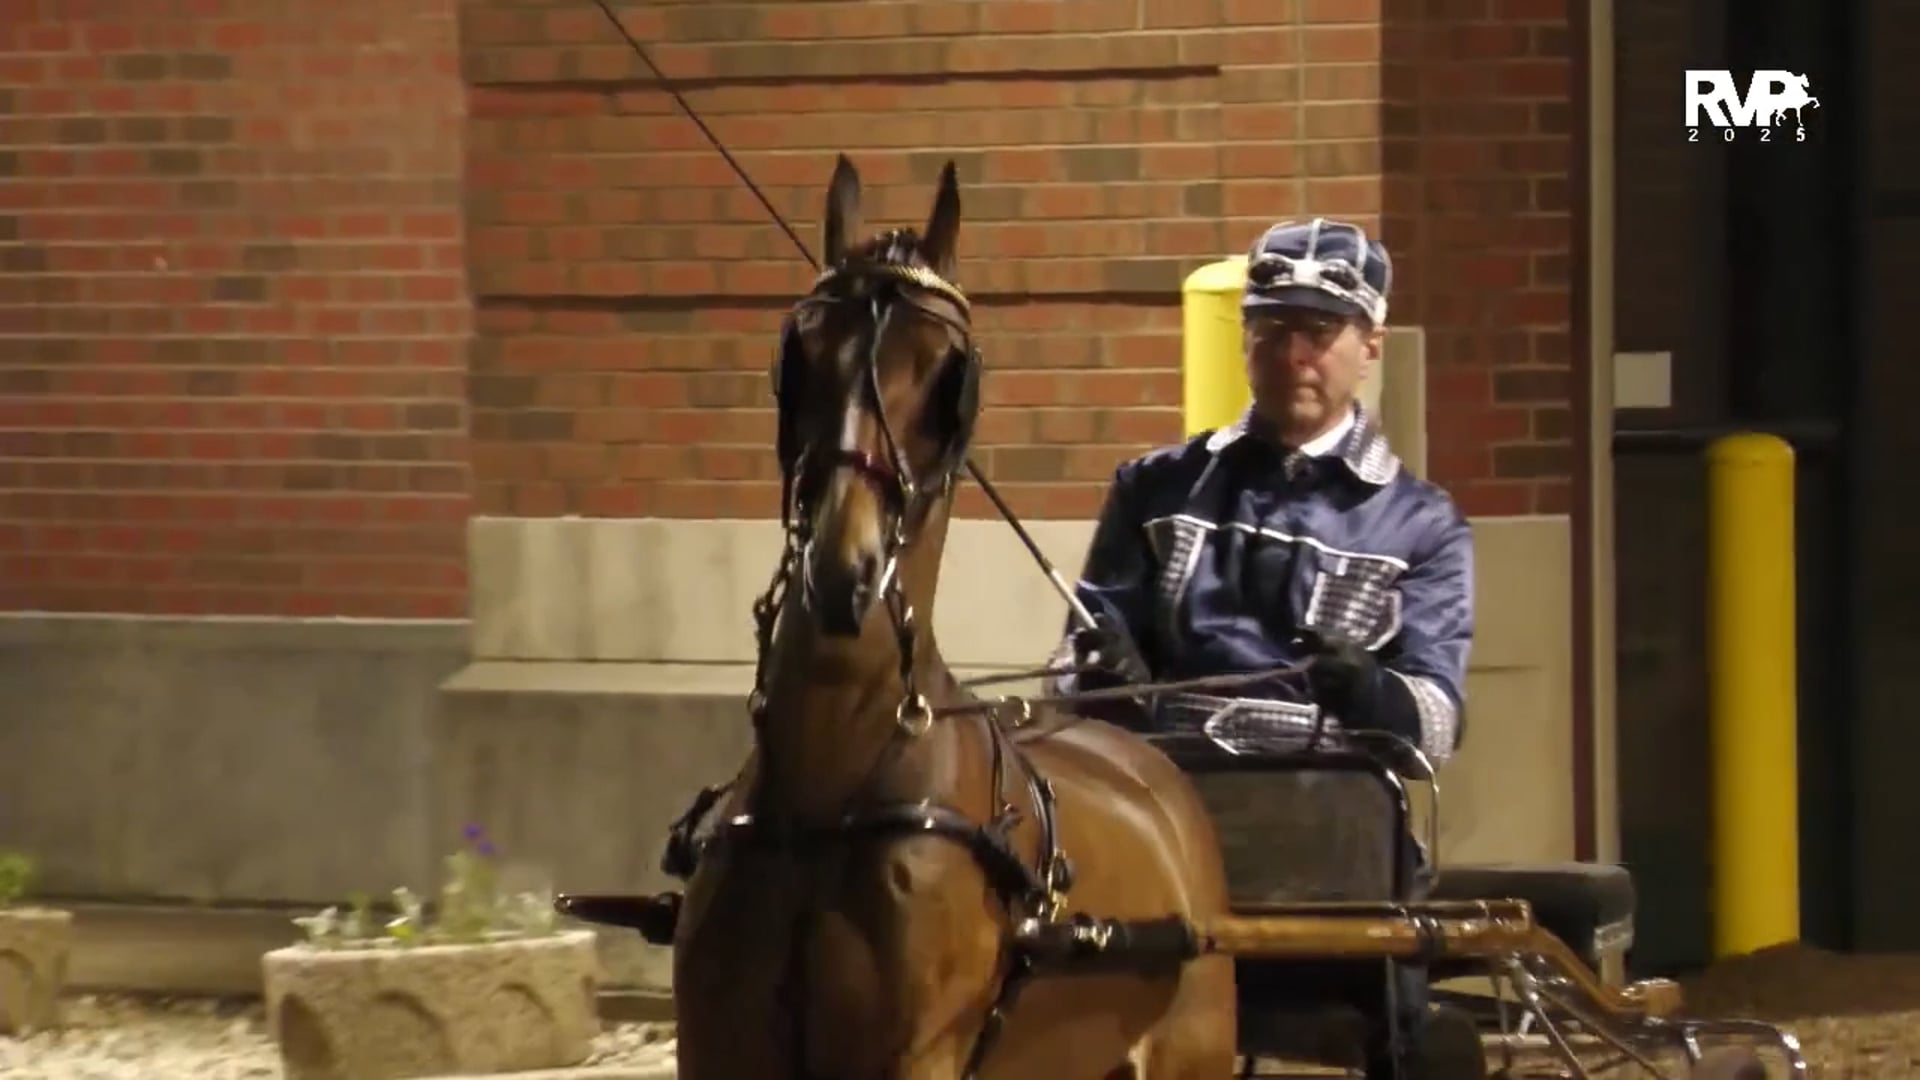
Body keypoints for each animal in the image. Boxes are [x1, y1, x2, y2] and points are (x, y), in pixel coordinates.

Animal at [664, 154, 1240, 1080]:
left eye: (949, 373)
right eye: (800, 353)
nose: (845, 567)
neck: (823, 797)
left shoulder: (916, 1058)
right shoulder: (718, 1049)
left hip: (1194, 1050)